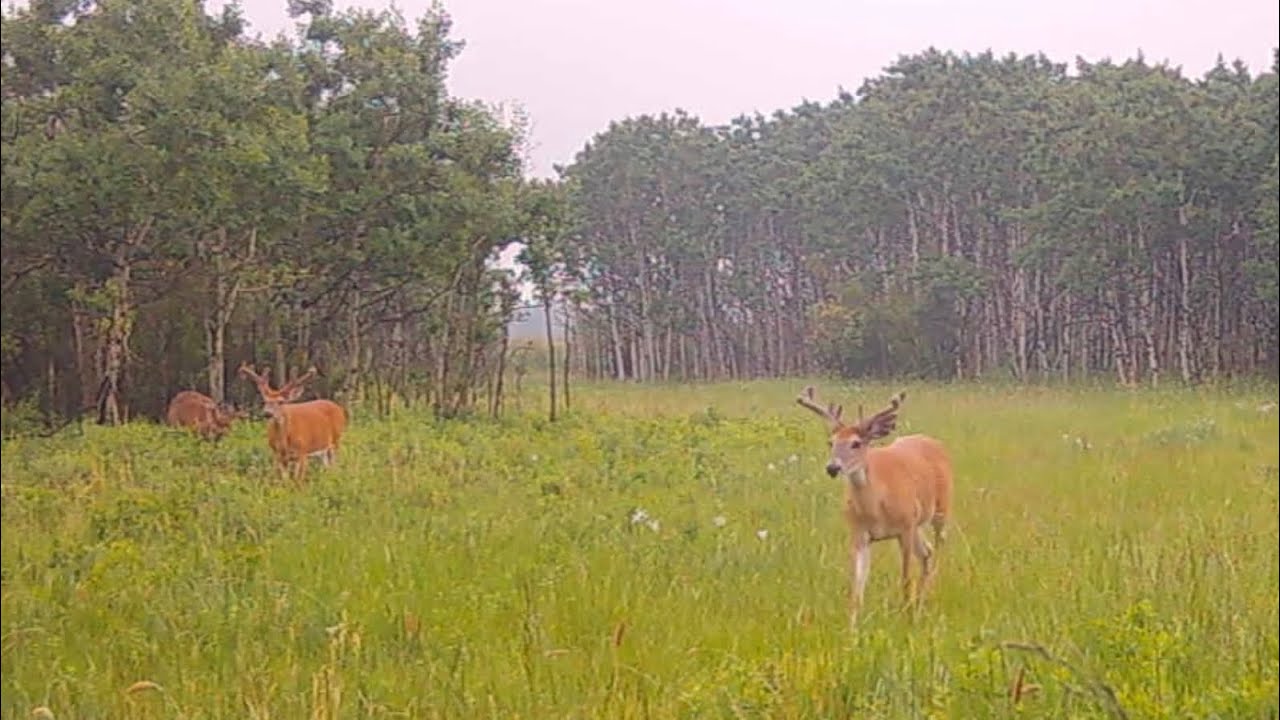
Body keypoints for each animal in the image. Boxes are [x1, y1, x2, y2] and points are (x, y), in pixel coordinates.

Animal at [795, 386, 953, 626]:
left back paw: (927, 596)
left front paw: (906, 616)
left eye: (856, 443)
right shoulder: (859, 532)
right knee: (927, 552)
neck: (877, 507)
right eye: (831, 442)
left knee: (939, 544)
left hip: (940, 509)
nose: (832, 467)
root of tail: (933, 442)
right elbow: (856, 586)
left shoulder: (905, 526)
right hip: (917, 522)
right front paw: (852, 626)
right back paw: (920, 603)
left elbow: (905, 578)